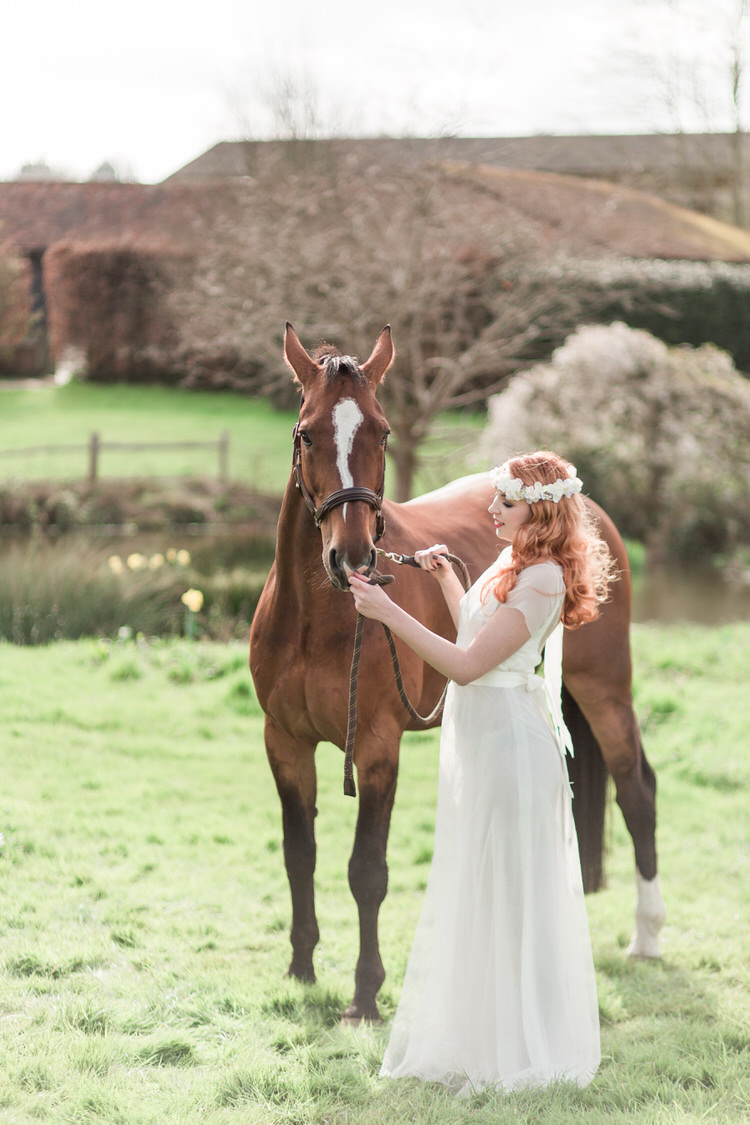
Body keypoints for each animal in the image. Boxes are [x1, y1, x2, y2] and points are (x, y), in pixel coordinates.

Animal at [249, 323, 665, 1024]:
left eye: (382, 431)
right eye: (306, 432)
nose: (353, 557)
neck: (315, 618)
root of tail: (590, 514)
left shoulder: (378, 746)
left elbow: (367, 870)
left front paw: (364, 996)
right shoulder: (284, 741)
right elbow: (297, 855)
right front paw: (301, 968)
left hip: (605, 689)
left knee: (637, 791)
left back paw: (647, 936)